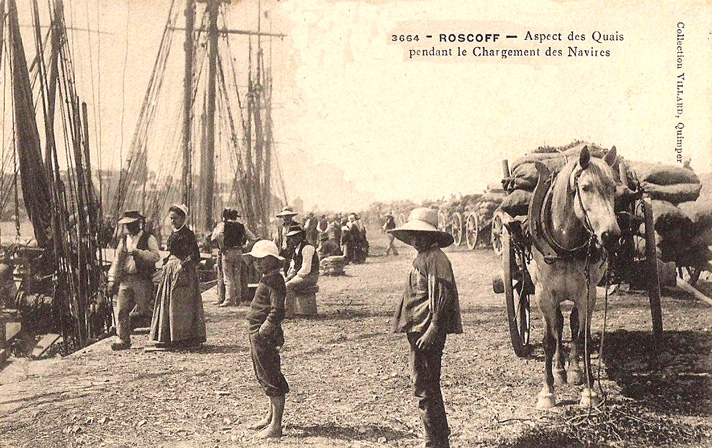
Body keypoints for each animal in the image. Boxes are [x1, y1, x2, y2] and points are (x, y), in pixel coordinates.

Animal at [524, 147, 620, 410]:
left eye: (614, 188)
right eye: (586, 187)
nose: (611, 235)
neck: (565, 246)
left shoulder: (587, 294)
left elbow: (583, 335)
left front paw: (589, 390)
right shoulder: (544, 295)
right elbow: (549, 338)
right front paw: (547, 392)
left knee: (574, 324)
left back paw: (574, 370)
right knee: (558, 325)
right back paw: (559, 369)